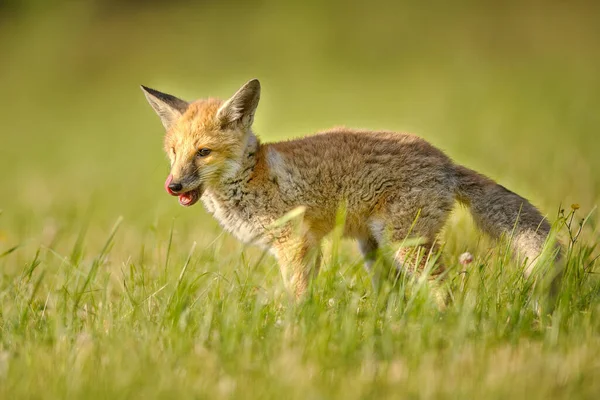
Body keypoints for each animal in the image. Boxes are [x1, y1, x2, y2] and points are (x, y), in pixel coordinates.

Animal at [142, 78, 556, 298]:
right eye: (174, 152)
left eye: (203, 153)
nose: (173, 185)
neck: (250, 176)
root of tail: (444, 160)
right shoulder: (306, 246)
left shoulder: (295, 243)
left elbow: (297, 298)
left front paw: (293, 334)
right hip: (375, 249)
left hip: (404, 244)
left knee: (444, 287)